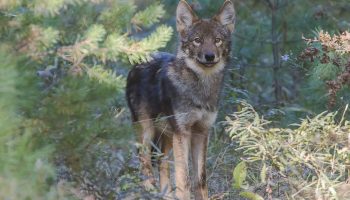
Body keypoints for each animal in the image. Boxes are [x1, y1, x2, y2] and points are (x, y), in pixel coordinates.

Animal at [126, 0, 235, 199]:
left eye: (217, 40)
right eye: (197, 40)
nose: (210, 56)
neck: (201, 89)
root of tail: (138, 62)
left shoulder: (201, 132)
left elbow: (200, 179)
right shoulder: (183, 132)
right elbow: (184, 178)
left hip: (167, 136)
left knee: (161, 163)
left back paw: (165, 195)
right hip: (147, 132)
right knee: (144, 163)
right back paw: (148, 190)